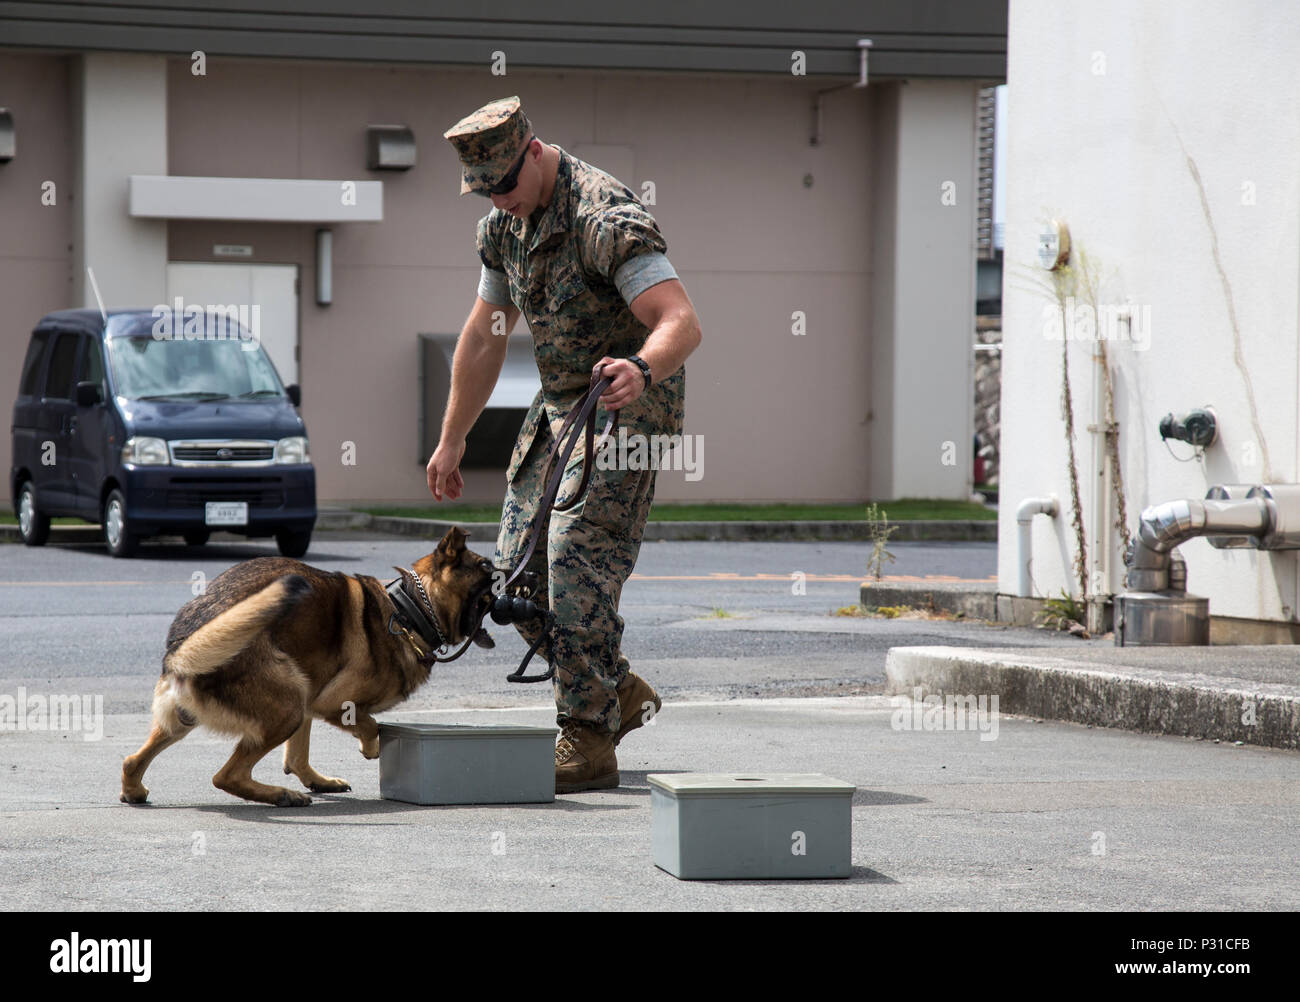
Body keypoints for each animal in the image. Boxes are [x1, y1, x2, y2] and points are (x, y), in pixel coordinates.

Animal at [120, 530, 496, 810]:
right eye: (486, 566)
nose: (510, 577)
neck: (409, 610)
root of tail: (182, 650)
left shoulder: (311, 698)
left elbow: (298, 754)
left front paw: (317, 781)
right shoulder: (336, 703)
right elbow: (371, 725)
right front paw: (371, 749)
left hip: (218, 712)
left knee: (131, 760)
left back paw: (134, 791)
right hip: (287, 705)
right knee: (225, 776)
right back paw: (281, 796)